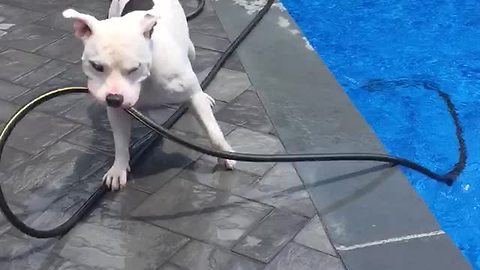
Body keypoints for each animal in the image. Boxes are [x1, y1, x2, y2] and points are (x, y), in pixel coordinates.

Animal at [62, 0, 235, 192]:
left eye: (134, 68)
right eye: (97, 67)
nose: (114, 99)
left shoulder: (192, 95)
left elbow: (213, 131)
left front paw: (224, 154)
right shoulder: (117, 111)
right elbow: (120, 142)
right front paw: (118, 168)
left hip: (191, 50)